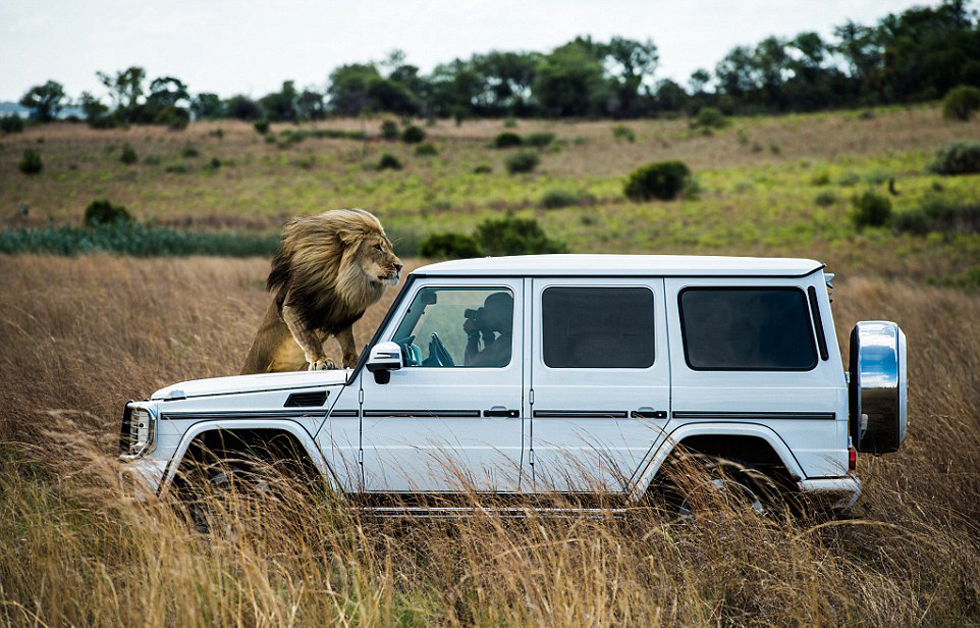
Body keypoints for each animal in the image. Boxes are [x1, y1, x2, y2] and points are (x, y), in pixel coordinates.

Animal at [241, 209, 402, 372]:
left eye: (390, 247)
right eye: (377, 247)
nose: (400, 266)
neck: (341, 285)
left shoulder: (340, 316)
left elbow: (348, 342)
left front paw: (354, 362)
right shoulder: (293, 307)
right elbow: (309, 337)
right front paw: (321, 361)